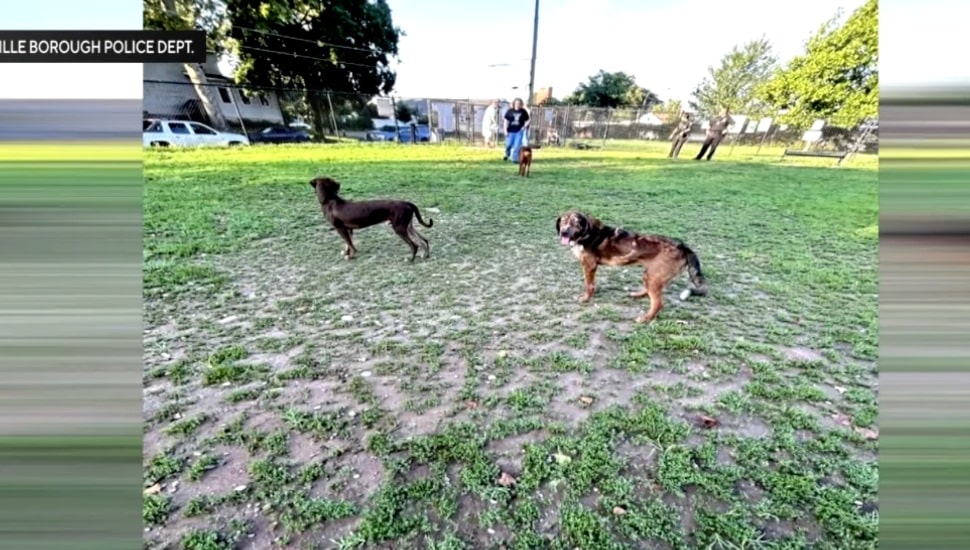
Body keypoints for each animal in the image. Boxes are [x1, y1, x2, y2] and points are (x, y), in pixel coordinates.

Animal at [556, 210, 708, 324]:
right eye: (563, 222)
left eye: (576, 223)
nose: (563, 232)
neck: (588, 233)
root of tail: (682, 246)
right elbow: (591, 284)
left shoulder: (589, 266)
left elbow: (588, 285)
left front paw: (586, 298)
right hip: (651, 275)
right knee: (650, 292)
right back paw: (638, 295)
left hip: (653, 276)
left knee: (658, 303)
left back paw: (645, 318)